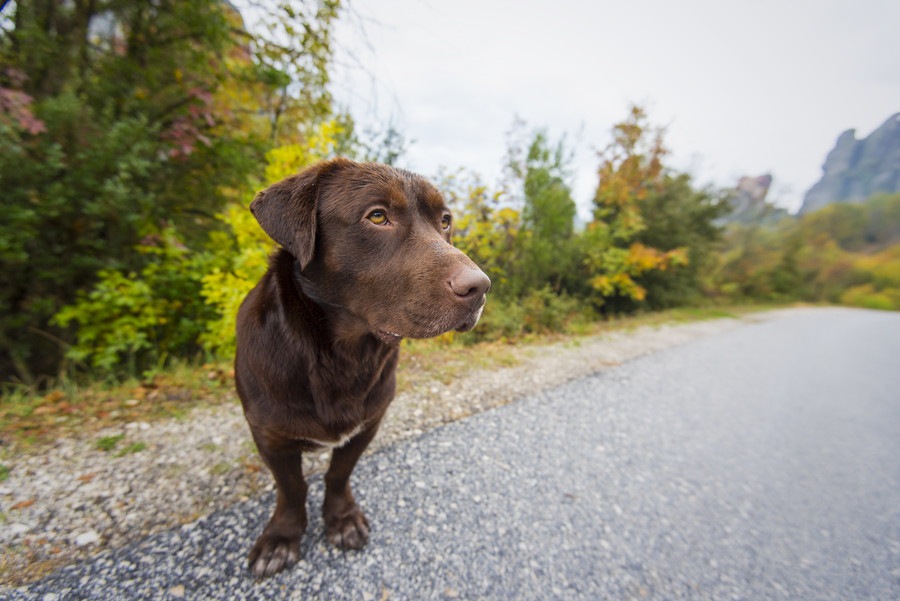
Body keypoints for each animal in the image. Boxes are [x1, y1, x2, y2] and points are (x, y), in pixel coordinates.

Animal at [232, 158, 486, 576]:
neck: (342, 356)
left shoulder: (369, 422)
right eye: (377, 216)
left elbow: (338, 473)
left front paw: (341, 519)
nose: (480, 287)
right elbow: (291, 488)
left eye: (445, 221)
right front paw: (282, 537)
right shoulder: (270, 435)